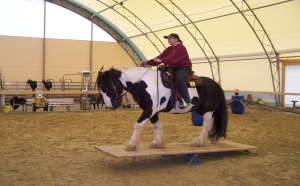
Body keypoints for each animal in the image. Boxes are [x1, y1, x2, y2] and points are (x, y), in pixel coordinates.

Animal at [97, 67, 229, 151]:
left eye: (106, 87)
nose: (110, 106)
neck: (145, 84)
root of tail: (217, 85)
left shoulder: (149, 110)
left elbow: (138, 125)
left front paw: (132, 145)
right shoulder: (152, 111)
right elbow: (156, 126)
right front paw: (157, 143)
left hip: (208, 109)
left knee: (206, 124)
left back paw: (199, 141)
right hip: (202, 110)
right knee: (212, 121)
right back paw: (213, 138)